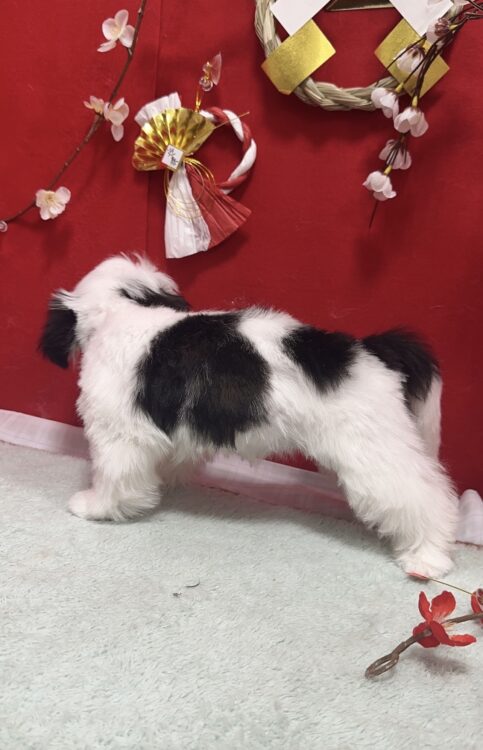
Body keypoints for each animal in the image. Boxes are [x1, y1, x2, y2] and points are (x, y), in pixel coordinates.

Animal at [39, 254, 458, 576]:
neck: (120, 313)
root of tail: (368, 349)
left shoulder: (119, 433)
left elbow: (114, 477)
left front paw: (97, 506)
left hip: (373, 451)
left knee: (425, 497)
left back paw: (426, 557)